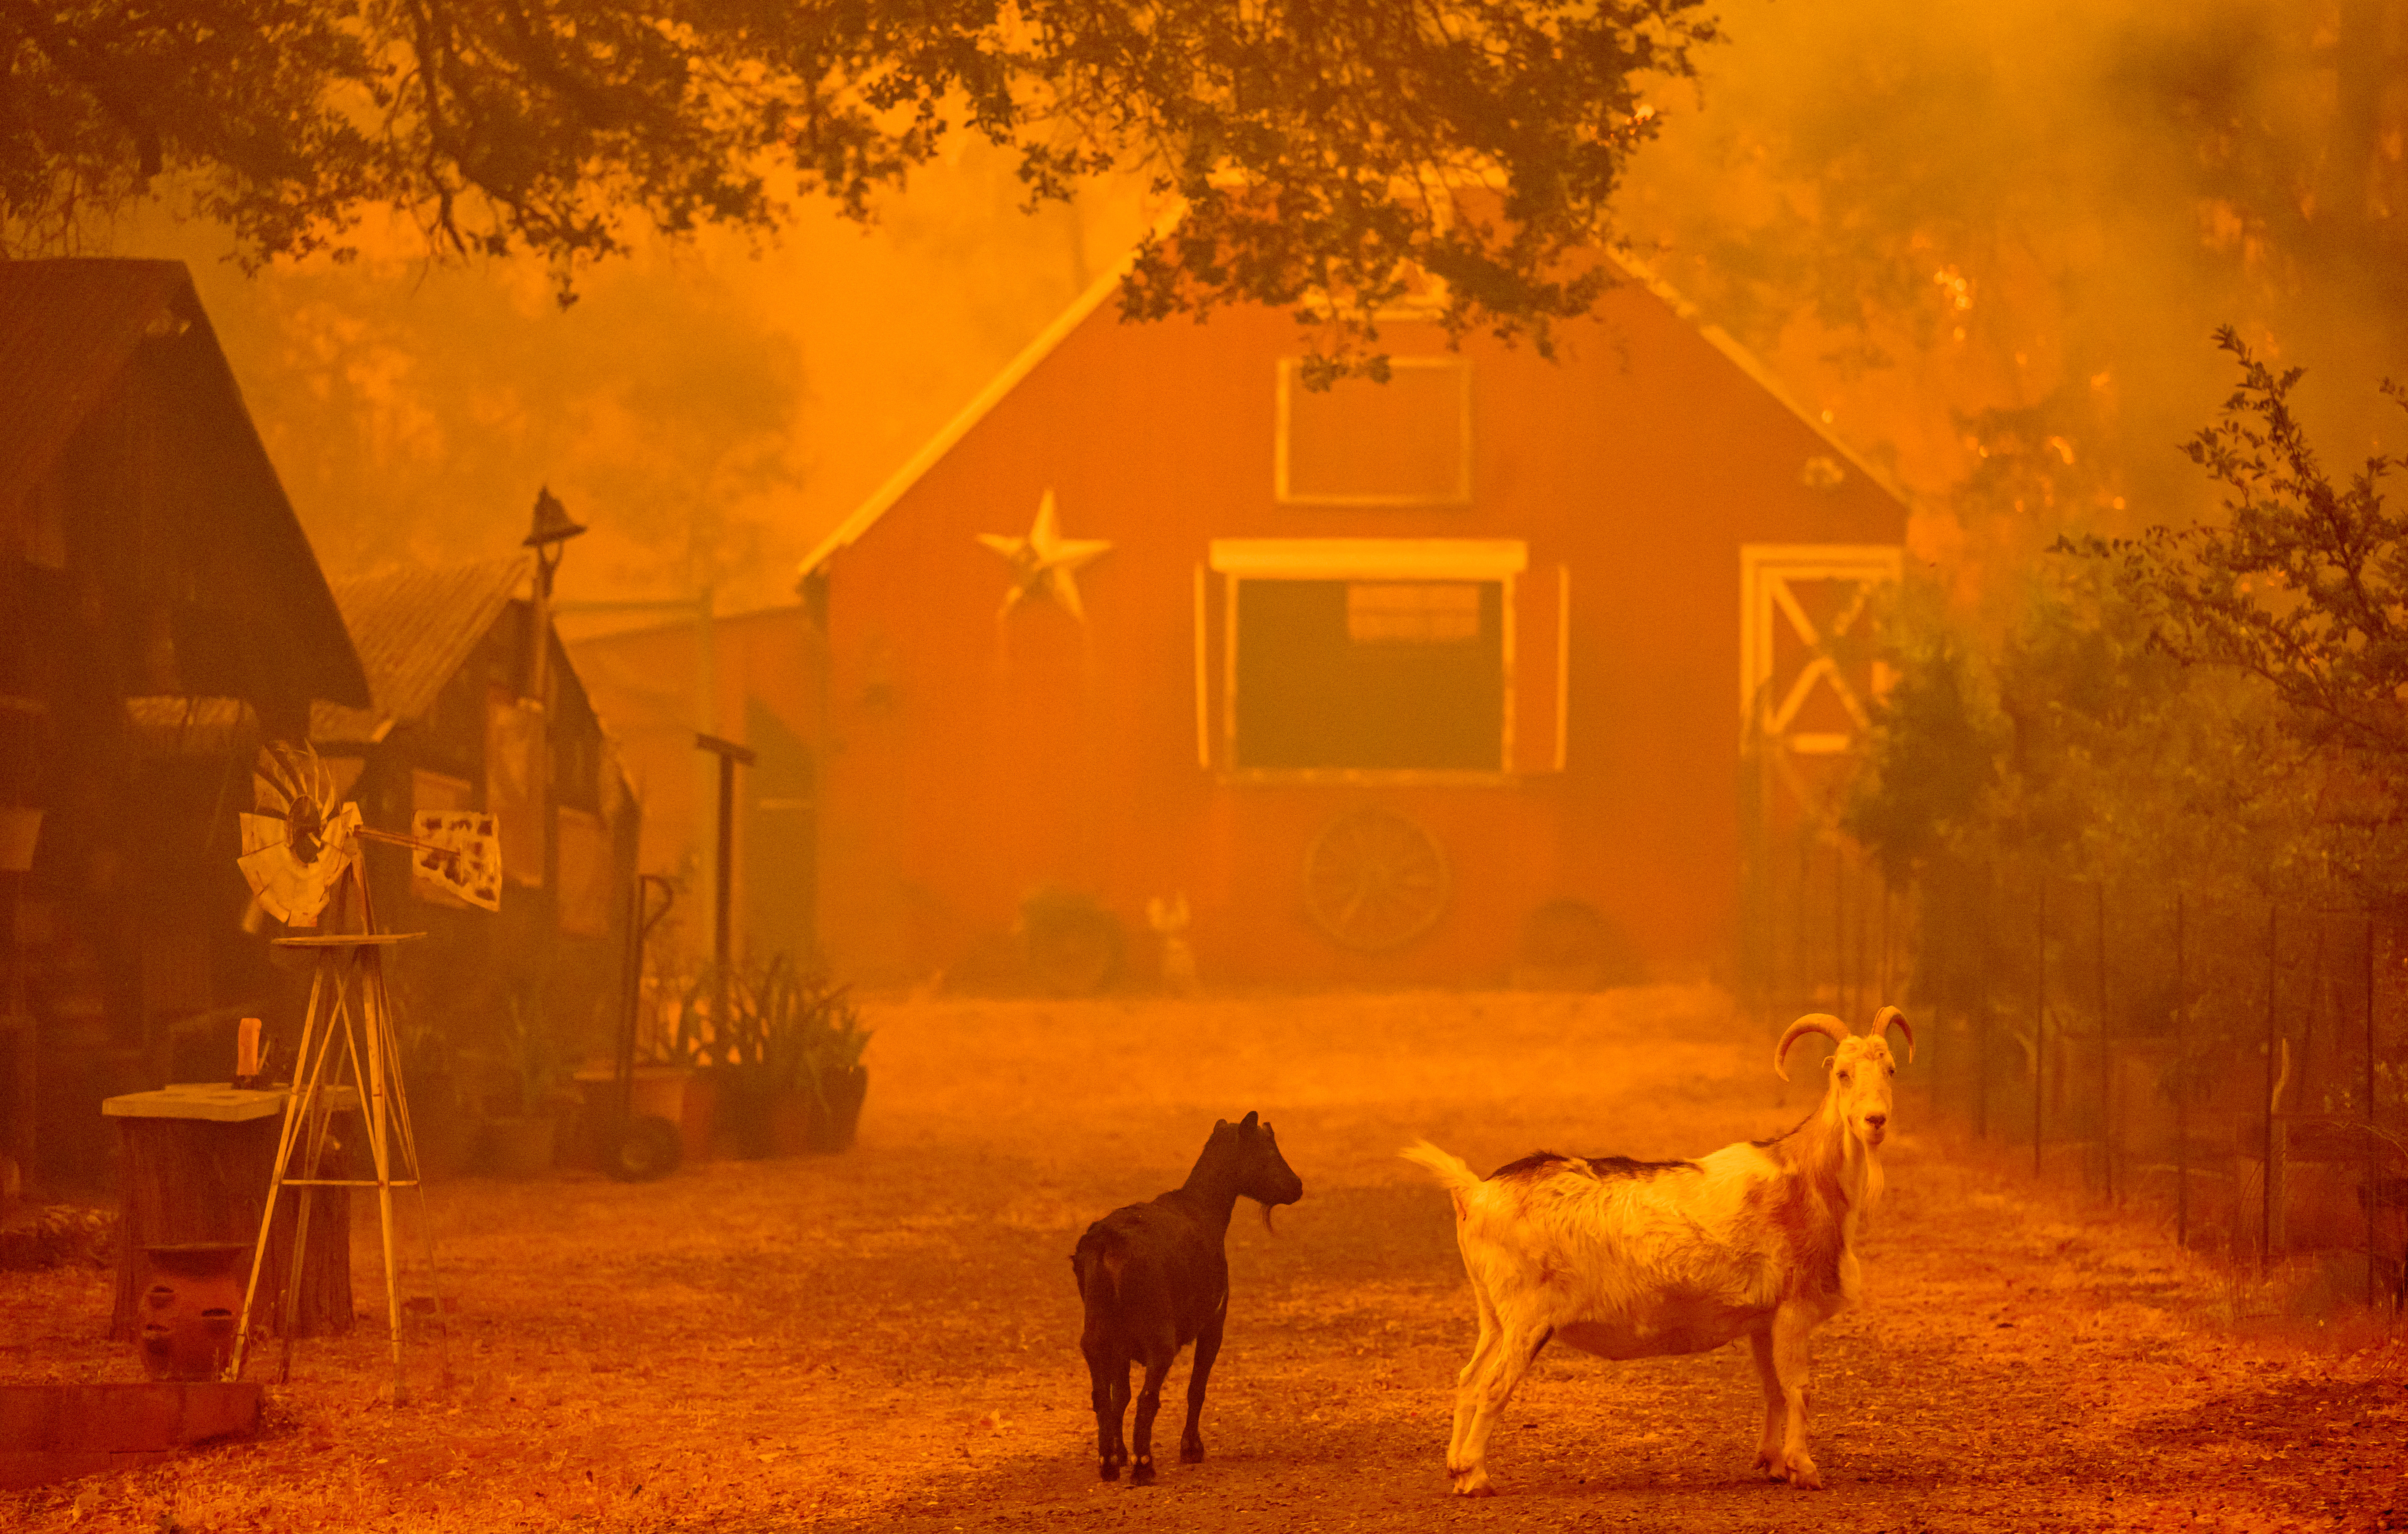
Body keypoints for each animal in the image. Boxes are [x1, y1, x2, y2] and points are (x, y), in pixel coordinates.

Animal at [1069, 1112, 1300, 1483]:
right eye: (1268, 1151)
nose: (1297, 1186)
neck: (1203, 1209)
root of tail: (1107, 1245)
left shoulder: (1120, 1343)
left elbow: (1120, 1395)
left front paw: (1120, 1454)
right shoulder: (1214, 1321)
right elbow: (1196, 1388)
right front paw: (1192, 1449)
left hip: (1096, 1332)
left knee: (1102, 1395)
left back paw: (1108, 1463)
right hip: (1159, 1333)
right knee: (1149, 1397)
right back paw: (1144, 1466)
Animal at [1406, 1006, 1907, 1493]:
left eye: (1890, 1069)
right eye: (1842, 1073)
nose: (1875, 1121)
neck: (1806, 1175)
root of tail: (1474, 1192)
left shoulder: (1763, 1321)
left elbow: (1773, 1391)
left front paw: (1772, 1463)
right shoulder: (1793, 1308)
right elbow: (1798, 1389)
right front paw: (1804, 1470)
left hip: (1493, 1313)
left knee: (1468, 1379)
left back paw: (1456, 1468)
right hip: (1525, 1317)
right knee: (1493, 1386)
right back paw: (1475, 1476)